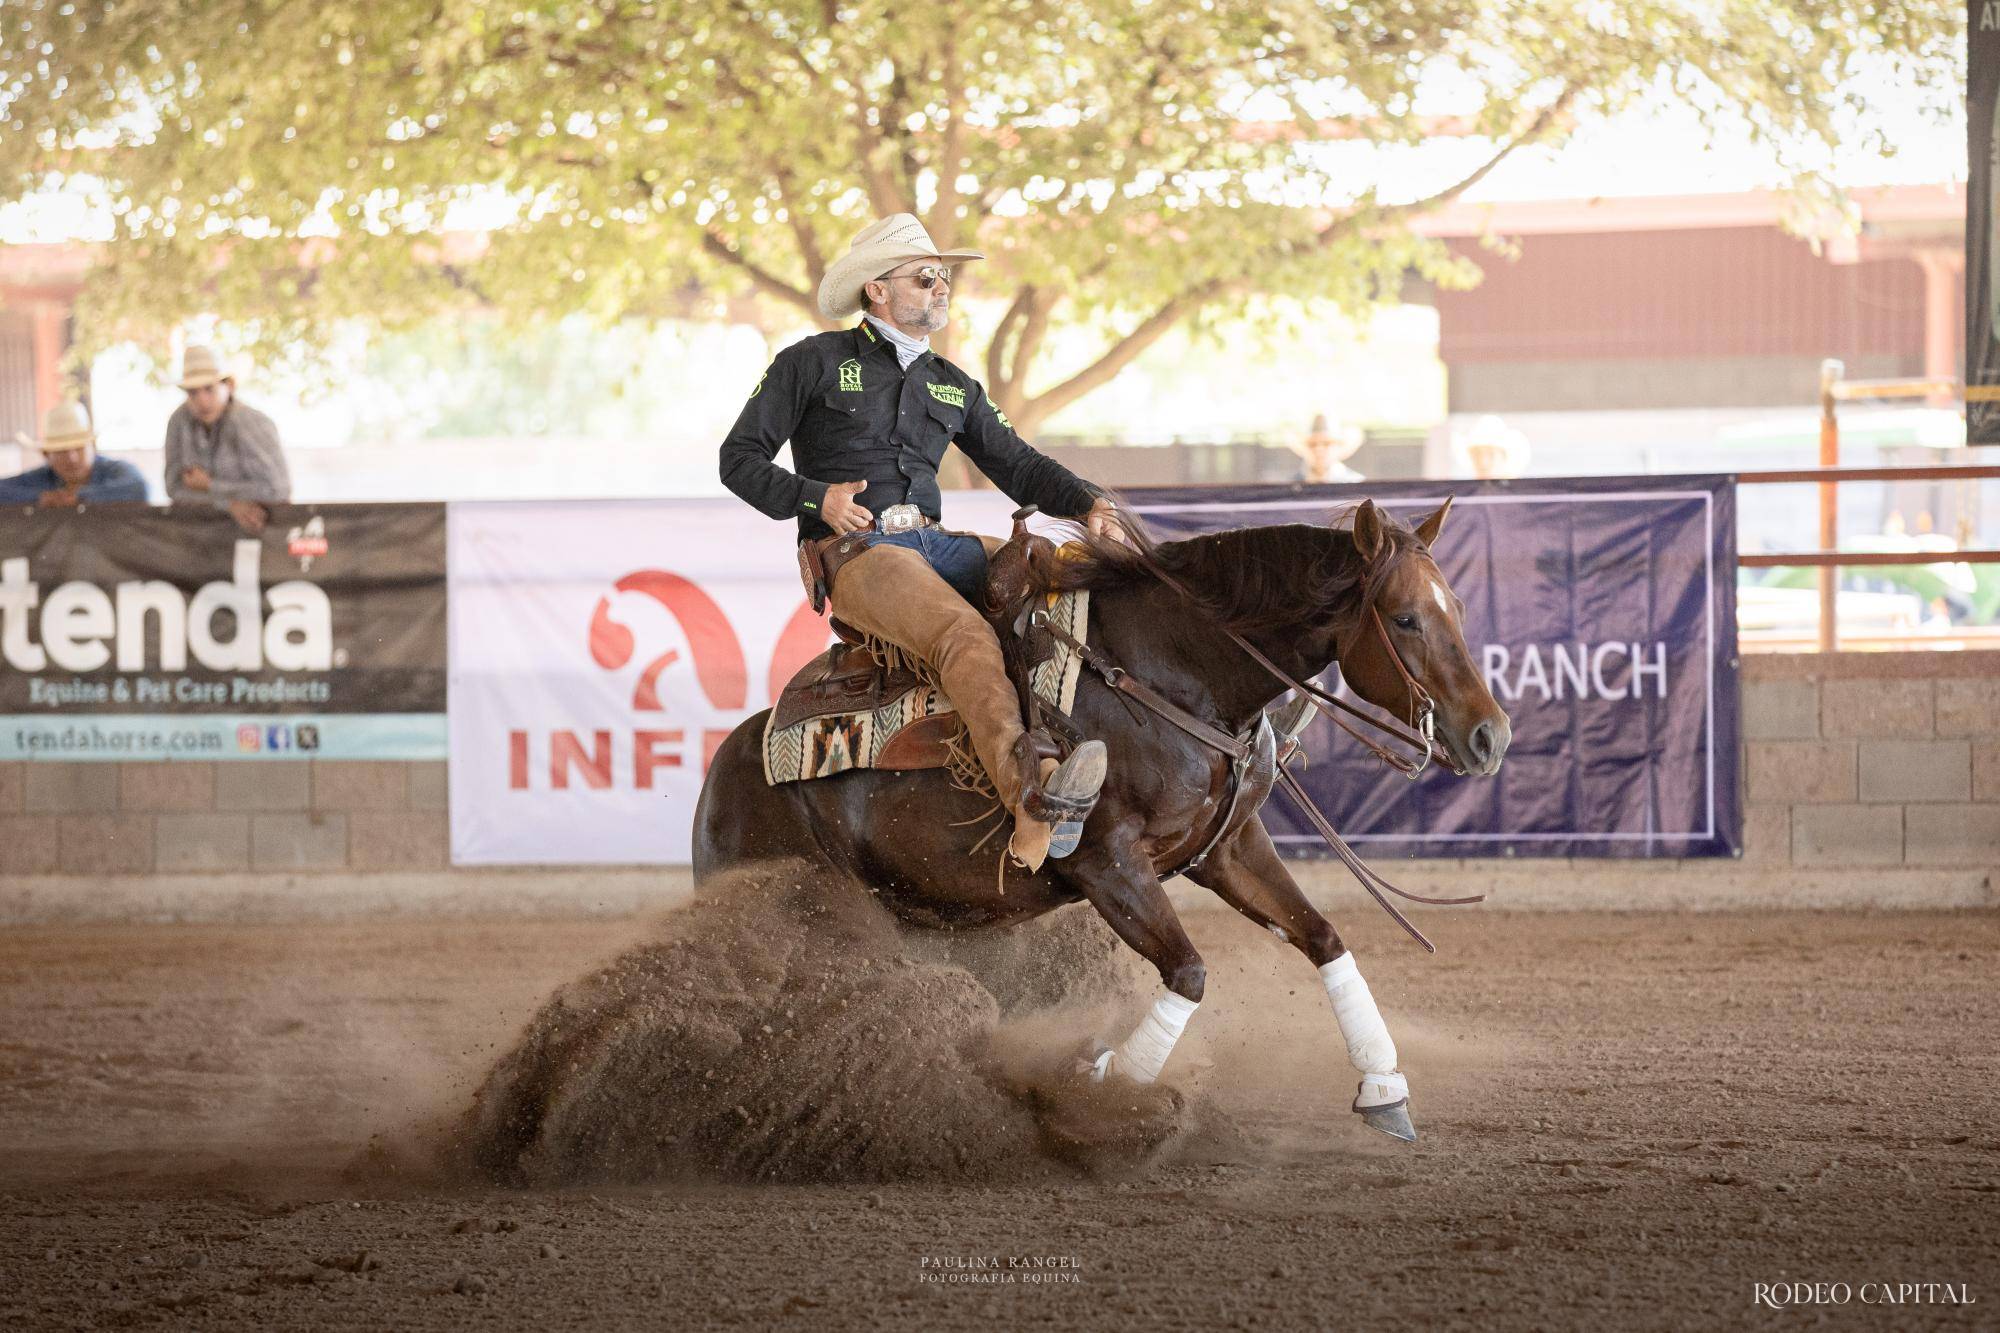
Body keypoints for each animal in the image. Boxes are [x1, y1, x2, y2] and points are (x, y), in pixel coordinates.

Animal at [696, 492, 1504, 1136]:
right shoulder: (1107, 863)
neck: (1174, 675)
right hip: (804, 912)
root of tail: (724, 771)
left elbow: (1325, 938)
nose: (1491, 736)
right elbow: (1188, 972)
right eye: (1405, 618)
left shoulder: (1229, 848)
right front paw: (1108, 1097)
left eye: (1460, 610)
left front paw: (1383, 1086)